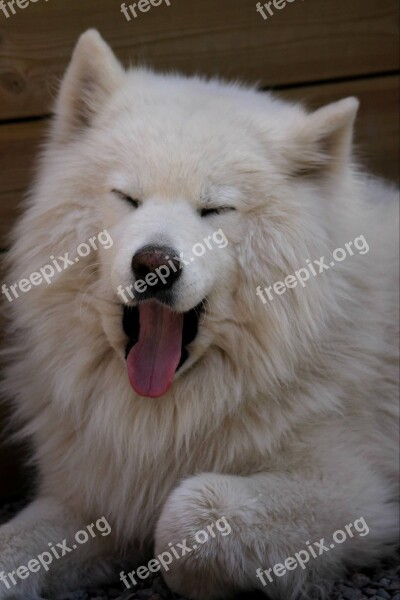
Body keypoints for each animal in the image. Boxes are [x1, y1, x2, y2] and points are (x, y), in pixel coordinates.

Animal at [0, 30, 400, 600]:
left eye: (214, 209)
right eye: (127, 197)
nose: (155, 263)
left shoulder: (356, 492)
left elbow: (186, 514)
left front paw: (196, 577)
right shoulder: (93, 496)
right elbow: (15, 544)